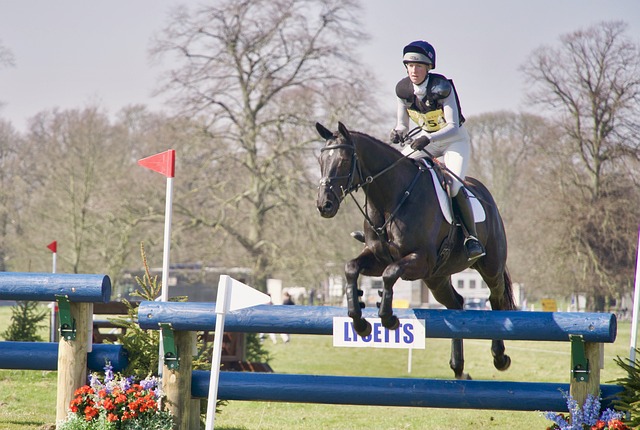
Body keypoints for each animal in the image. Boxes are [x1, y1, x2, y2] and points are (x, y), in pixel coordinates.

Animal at [316, 122, 516, 380]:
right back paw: (458, 368)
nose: (324, 205)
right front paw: (360, 323)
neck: (391, 197)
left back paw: (499, 357)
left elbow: (390, 274)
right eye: (321, 160)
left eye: (342, 160)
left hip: (490, 267)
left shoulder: (421, 260)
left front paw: (388, 318)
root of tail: (485, 195)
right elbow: (351, 268)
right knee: (456, 304)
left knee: (495, 299)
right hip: (437, 278)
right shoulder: (379, 258)